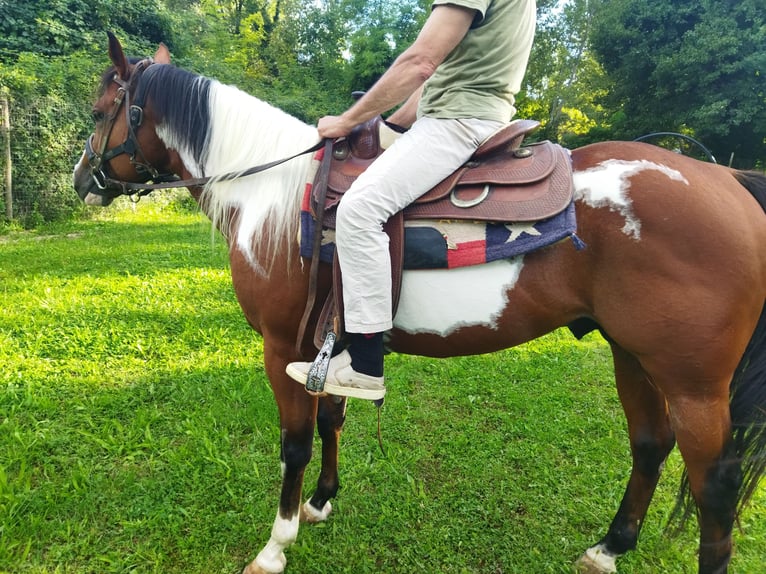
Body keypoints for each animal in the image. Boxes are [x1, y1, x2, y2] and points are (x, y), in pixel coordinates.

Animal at [73, 34, 766, 574]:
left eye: (103, 109)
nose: (81, 180)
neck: (272, 192)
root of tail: (727, 178)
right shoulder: (329, 342)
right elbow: (332, 420)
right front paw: (321, 501)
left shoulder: (282, 346)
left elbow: (295, 442)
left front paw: (276, 545)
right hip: (632, 354)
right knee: (650, 445)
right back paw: (609, 548)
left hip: (693, 382)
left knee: (715, 485)